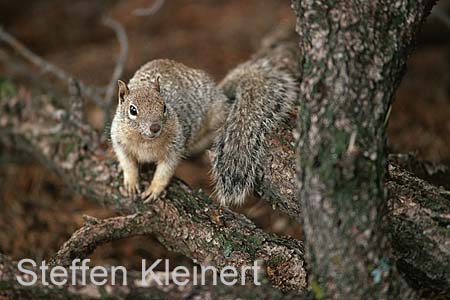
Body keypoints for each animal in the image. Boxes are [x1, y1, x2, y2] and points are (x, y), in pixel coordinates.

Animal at [109, 58, 229, 202]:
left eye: (164, 107)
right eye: (132, 110)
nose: (155, 127)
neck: (145, 141)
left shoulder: (175, 147)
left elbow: (165, 171)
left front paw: (154, 190)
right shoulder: (119, 141)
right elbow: (127, 163)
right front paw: (131, 182)